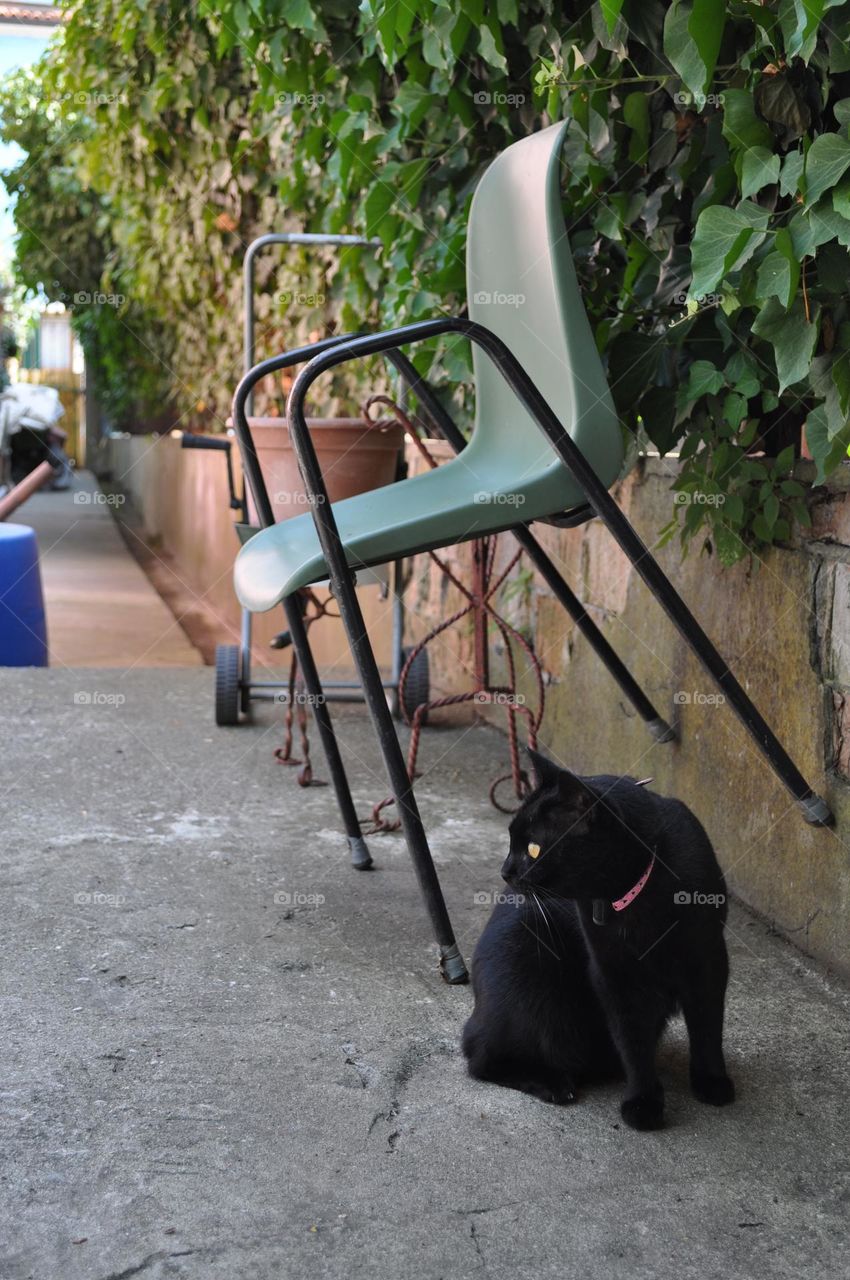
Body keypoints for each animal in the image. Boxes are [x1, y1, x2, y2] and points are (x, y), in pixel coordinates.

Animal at [460, 747, 732, 1131]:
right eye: (511, 840)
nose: (505, 871)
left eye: (533, 849)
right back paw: (554, 1083)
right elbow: (632, 1039)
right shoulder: (614, 974)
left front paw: (712, 1082)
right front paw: (643, 1102)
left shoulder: (707, 959)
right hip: (525, 970)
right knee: (481, 1056)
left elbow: (708, 1026)